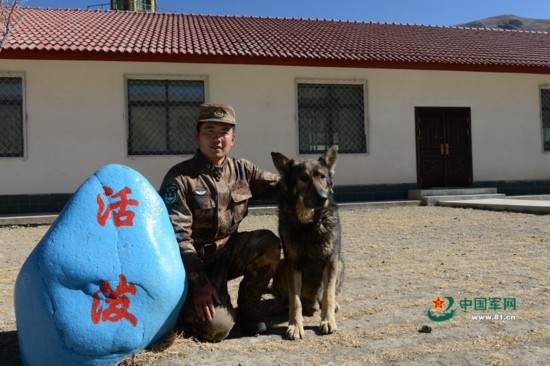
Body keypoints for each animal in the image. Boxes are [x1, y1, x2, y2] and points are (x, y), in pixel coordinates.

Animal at [272, 146, 344, 340]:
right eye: (303, 178)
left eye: (322, 176)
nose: (323, 197)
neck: (309, 223)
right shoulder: (292, 264)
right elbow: (295, 300)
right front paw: (295, 325)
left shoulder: (330, 261)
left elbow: (328, 295)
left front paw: (328, 320)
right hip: (281, 265)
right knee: (287, 297)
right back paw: (280, 305)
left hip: (340, 264)